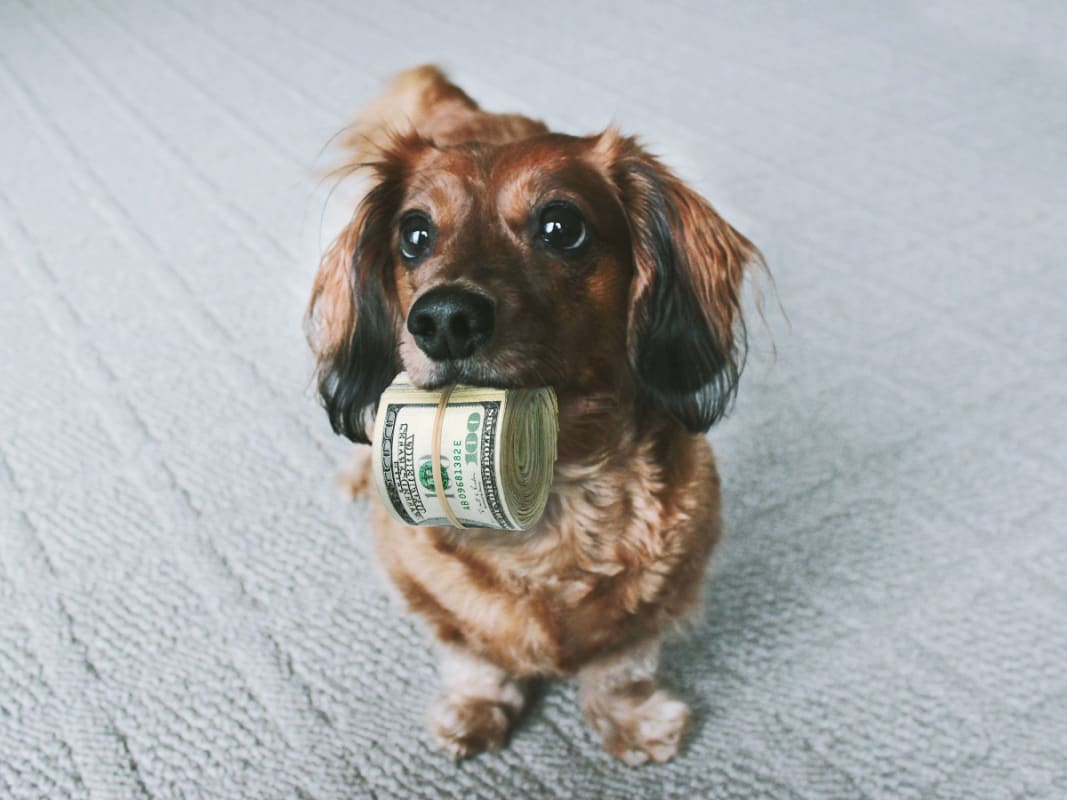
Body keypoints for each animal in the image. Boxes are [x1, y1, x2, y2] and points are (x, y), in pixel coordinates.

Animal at [309, 65, 759, 759]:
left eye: (561, 226)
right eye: (414, 234)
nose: (444, 319)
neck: (560, 495)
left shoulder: (671, 582)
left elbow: (622, 661)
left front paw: (630, 719)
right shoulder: (427, 593)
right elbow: (475, 654)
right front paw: (477, 708)